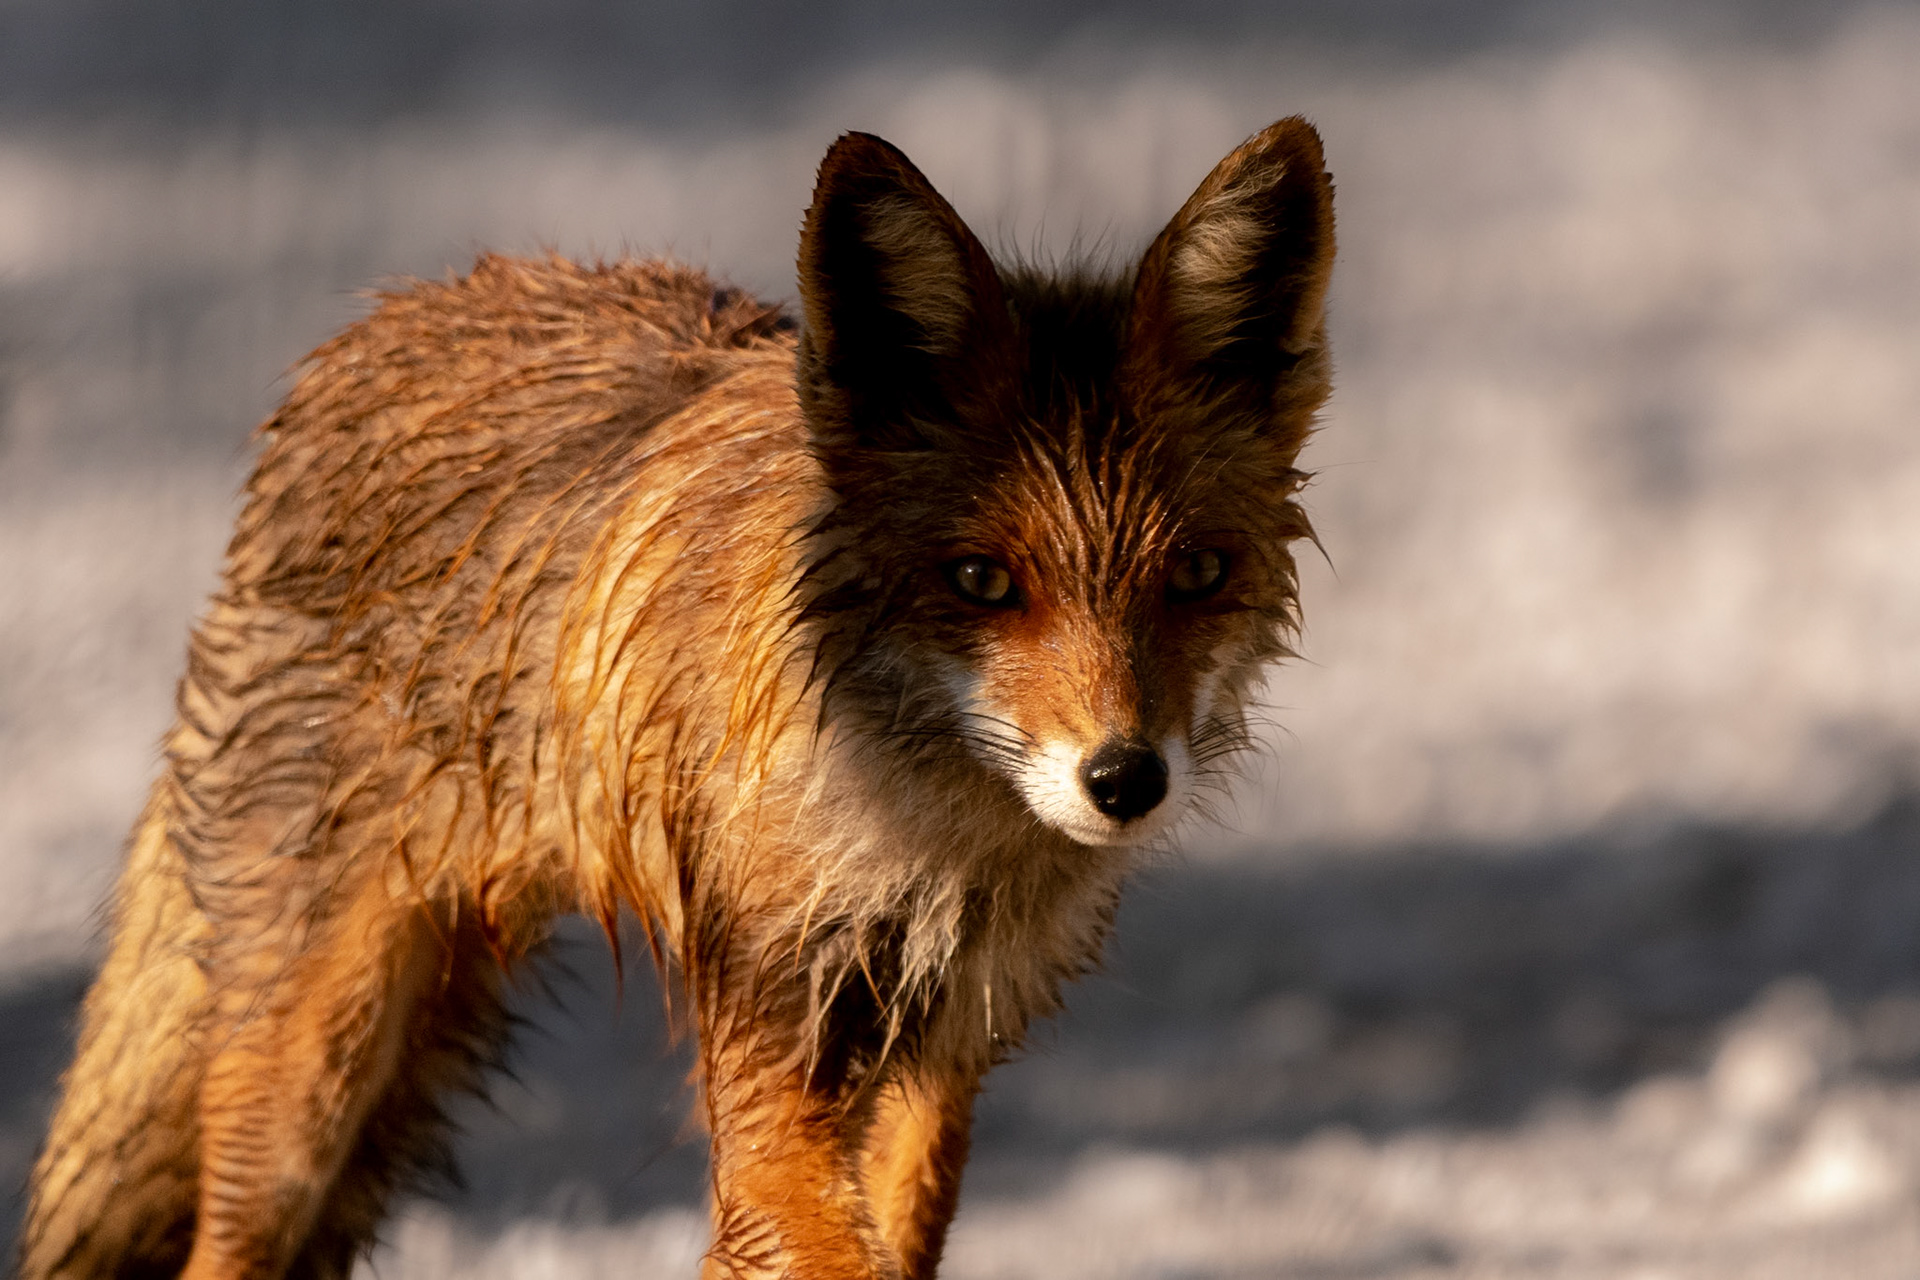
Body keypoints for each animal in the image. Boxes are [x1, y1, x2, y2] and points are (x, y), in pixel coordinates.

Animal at [18, 116, 1334, 1279]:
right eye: (981, 581)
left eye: (1196, 572)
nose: (1124, 778)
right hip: (311, 1086)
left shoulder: (937, 1067)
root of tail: (392, 315)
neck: (921, 843)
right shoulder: (767, 1057)